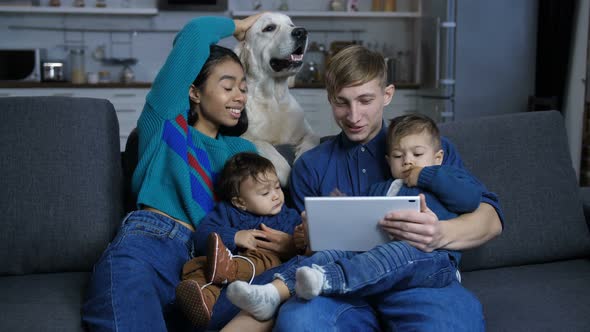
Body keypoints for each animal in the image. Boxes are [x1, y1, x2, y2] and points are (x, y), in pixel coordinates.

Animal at [236, 12, 322, 187]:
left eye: (291, 25)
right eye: (269, 28)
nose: (301, 32)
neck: (274, 99)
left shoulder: (308, 131)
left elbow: (312, 139)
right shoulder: (243, 136)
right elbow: (263, 143)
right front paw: (285, 173)